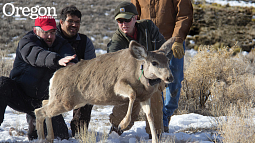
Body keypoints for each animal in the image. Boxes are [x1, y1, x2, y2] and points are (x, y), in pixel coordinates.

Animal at [34, 37, 176, 143]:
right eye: (154, 62)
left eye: (168, 60)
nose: (170, 77)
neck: (138, 72)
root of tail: (54, 76)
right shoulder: (118, 85)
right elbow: (132, 94)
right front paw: (123, 124)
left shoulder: (145, 97)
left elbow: (150, 115)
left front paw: (155, 140)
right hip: (65, 101)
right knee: (39, 111)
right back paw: (42, 139)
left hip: (71, 100)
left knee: (44, 104)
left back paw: (49, 137)